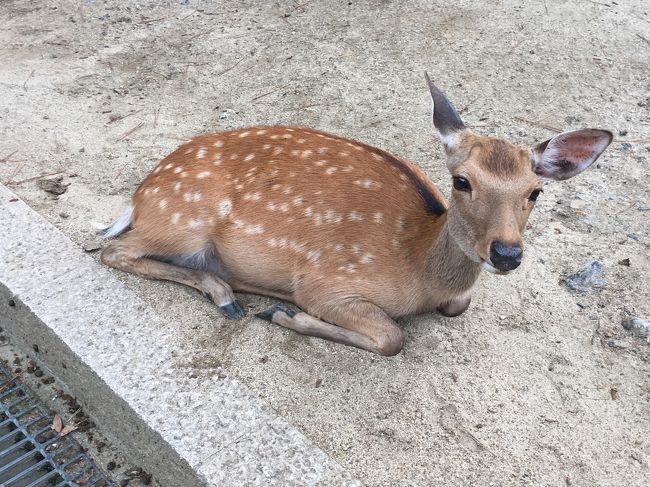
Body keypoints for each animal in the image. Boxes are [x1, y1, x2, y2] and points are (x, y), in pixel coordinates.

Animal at [97, 73, 612, 354]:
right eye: (462, 181)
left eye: (536, 192)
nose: (506, 254)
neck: (418, 270)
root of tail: (141, 195)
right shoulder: (328, 280)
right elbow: (393, 337)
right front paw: (284, 315)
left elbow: (457, 306)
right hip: (183, 220)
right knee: (113, 250)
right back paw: (228, 295)